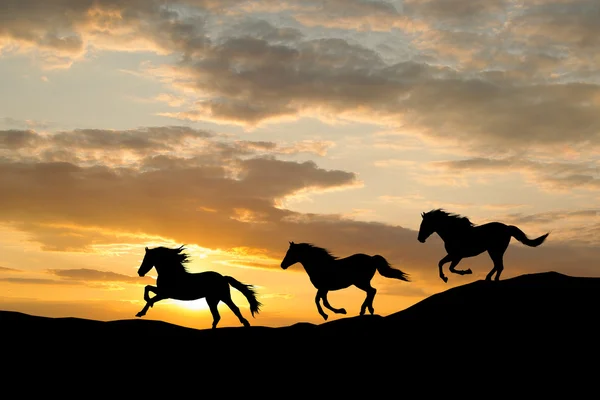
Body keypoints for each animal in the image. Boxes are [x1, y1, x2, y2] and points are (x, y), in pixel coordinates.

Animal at [280, 241, 410, 322]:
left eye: (290, 253)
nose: (282, 265)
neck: (320, 265)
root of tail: (372, 258)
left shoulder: (323, 288)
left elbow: (319, 301)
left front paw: (329, 314)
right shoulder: (324, 289)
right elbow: (323, 301)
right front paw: (337, 312)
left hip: (360, 282)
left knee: (372, 291)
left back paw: (364, 310)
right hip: (362, 282)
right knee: (371, 291)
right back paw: (368, 310)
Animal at [418, 211, 548, 282]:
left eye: (424, 224)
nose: (419, 239)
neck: (454, 232)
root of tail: (507, 227)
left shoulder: (457, 256)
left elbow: (449, 267)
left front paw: (465, 272)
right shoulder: (454, 255)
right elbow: (441, 263)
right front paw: (445, 277)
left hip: (494, 251)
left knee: (499, 266)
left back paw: (490, 278)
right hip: (495, 251)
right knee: (498, 266)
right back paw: (491, 278)